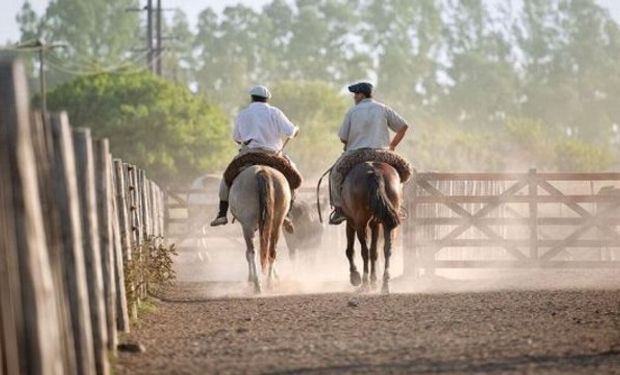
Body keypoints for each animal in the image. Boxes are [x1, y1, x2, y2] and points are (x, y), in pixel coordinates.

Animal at [230, 165, 290, 294]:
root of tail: (261, 171)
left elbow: (248, 253)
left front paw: (250, 279)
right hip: (276, 223)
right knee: (271, 251)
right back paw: (269, 283)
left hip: (247, 226)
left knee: (252, 252)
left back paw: (257, 285)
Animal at [340, 162, 402, 294]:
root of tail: (375, 173)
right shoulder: (375, 224)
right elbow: (374, 251)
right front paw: (373, 281)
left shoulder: (351, 221)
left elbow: (350, 250)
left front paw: (355, 276)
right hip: (387, 222)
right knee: (386, 249)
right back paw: (385, 284)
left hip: (360, 223)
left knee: (364, 251)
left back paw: (364, 283)